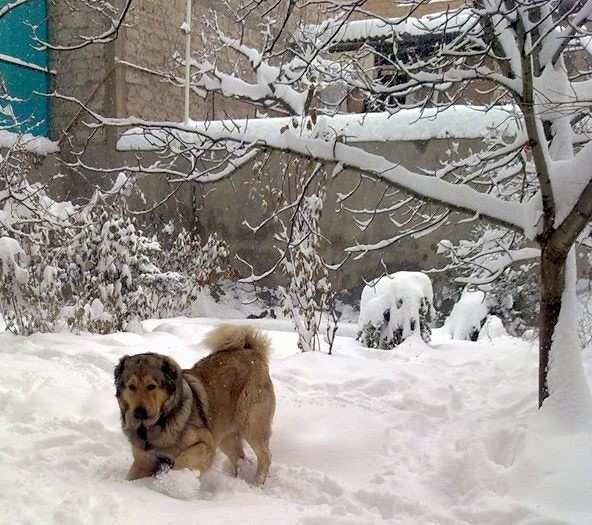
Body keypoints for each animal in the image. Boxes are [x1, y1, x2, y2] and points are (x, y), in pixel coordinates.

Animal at [114, 324, 276, 484]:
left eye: (151, 386)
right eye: (131, 386)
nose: (139, 413)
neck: (154, 427)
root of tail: (252, 351)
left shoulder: (206, 443)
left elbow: (183, 460)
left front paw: (175, 482)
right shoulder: (143, 461)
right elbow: (130, 477)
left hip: (251, 423)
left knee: (265, 456)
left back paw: (256, 484)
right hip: (225, 435)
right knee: (240, 458)